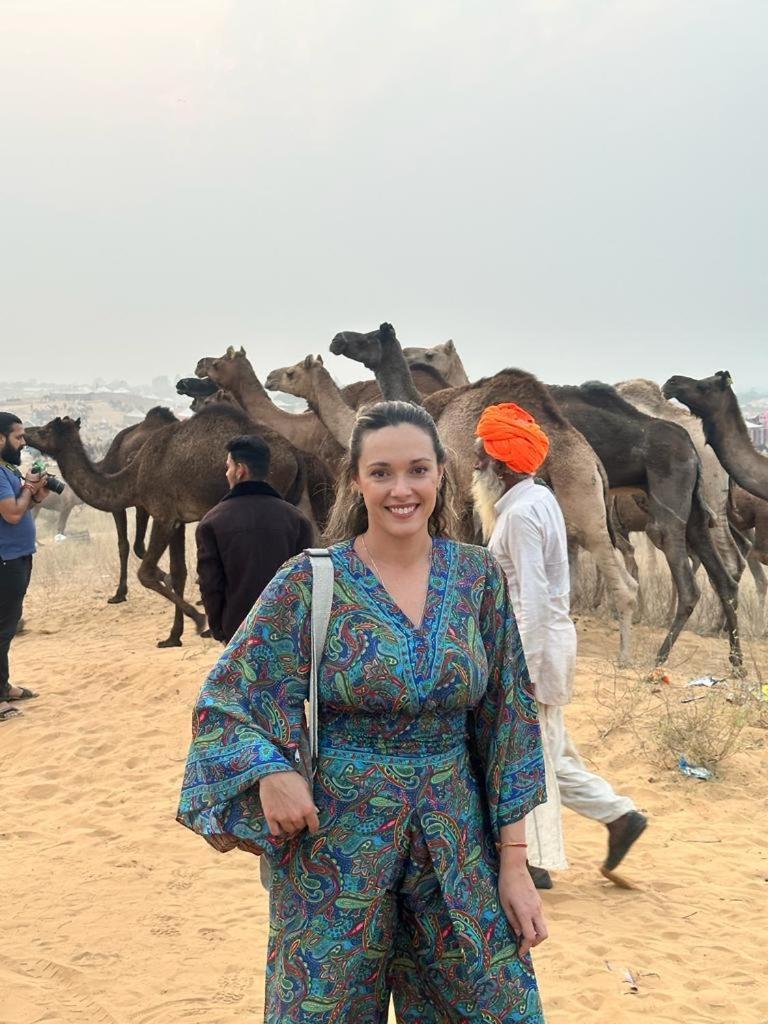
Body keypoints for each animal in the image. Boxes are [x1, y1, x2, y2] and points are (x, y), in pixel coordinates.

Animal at [24, 403, 327, 643]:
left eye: (45, 431)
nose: (26, 431)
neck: (134, 476)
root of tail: (294, 454)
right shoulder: (179, 520)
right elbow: (178, 572)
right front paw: (174, 636)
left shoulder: (163, 514)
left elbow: (146, 572)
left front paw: (199, 620)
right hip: (295, 497)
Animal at [329, 323, 638, 667]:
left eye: (368, 337)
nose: (338, 339)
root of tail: (593, 460)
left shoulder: (457, 492)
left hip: (583, 501)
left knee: (621, 583)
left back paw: (625, 657)